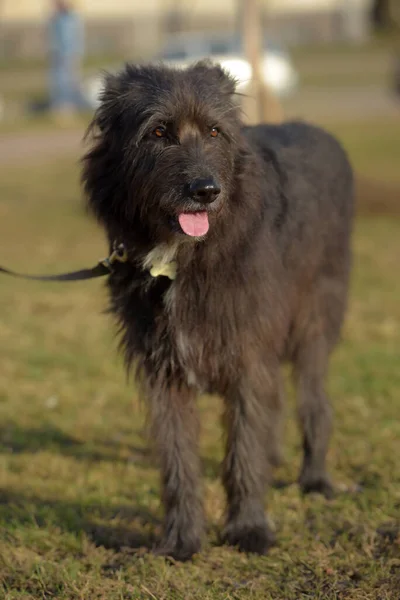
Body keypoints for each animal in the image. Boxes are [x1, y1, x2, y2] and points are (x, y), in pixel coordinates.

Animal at [82, 62, 354, 564]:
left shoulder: (249, 353)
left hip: (315, 323)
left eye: (214, 131)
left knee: (312, 401)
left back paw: (314, 480)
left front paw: (248, 529)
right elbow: (178, 460)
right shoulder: (162, 370)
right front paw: (182, 540)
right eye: (158, 131)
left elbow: (243, 446)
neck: (183, 257)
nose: (205, 191)